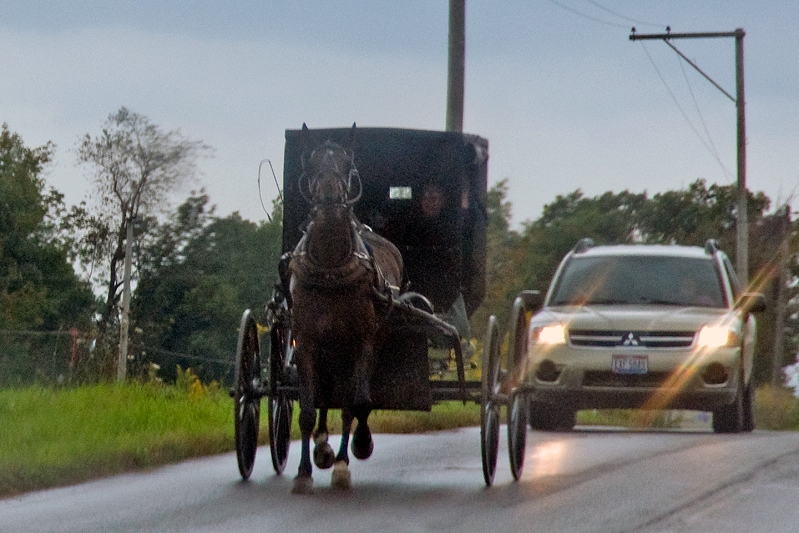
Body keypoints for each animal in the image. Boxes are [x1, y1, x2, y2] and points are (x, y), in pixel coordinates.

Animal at [286, 122, 404, 492]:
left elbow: (357, 402)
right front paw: (303, 471)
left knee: (349, 396)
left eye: (348, 165)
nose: (330, 204)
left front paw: (347, 459)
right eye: (310, 164)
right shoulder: (307, 340)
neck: (330, 267)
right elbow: (309, 407)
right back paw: (322, 447)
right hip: (328, 347)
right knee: (326, 391)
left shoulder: (361, 340)